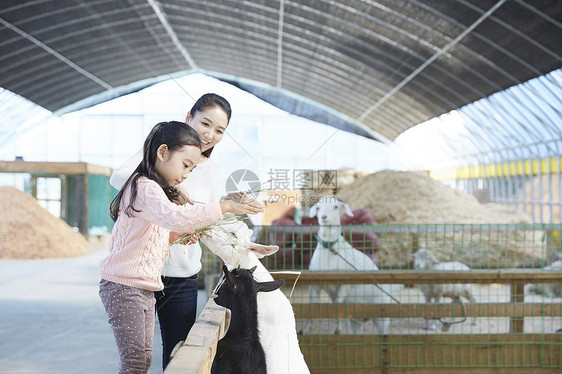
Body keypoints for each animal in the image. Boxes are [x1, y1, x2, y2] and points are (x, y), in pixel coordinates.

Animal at [302, 199, 390, 336]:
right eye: (318, 208)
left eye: (335, 206)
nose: (324, 217)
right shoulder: (314, 285)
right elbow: (311, 307)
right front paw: (302, 330)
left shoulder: (345, 283)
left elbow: (337, 306)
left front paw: (337, 329)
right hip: (354, 321)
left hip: (382, 317)